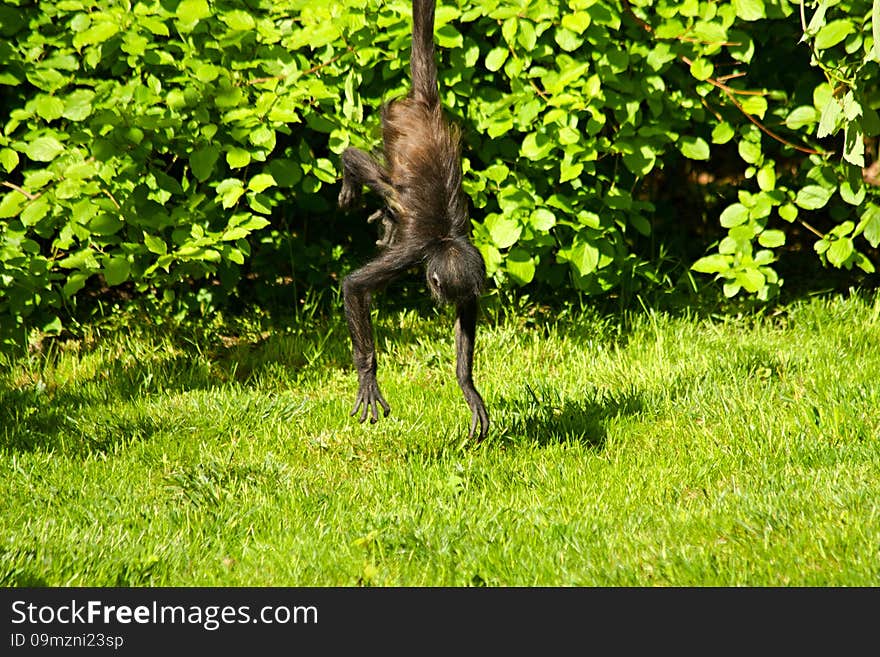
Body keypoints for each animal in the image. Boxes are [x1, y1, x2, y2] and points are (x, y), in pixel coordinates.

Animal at [336, 0, 492, 444]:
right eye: (439, 289)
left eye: (452, 296)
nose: (442, 301)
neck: (443, 239)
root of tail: (425, 105)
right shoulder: (413, 252)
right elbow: (354, 286)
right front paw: (368, 377)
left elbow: (468, 315)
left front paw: (467, 386)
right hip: (393, 121)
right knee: (380, 177)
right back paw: (352, 169)